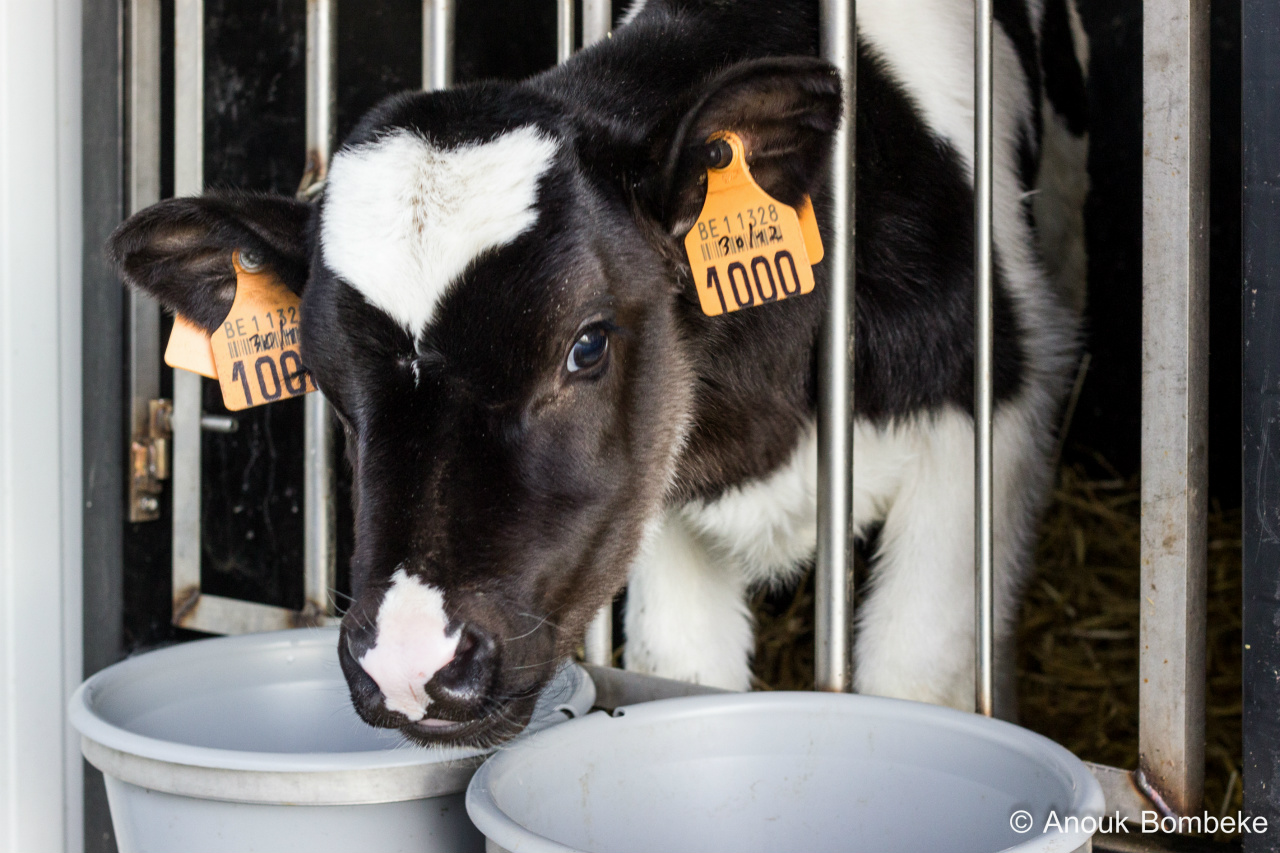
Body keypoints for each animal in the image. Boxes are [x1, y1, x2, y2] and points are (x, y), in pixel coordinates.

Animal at [112, 0, 1090, 742]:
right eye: (322, 375)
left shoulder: (990, 419)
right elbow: (684, 668)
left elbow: (914, 679)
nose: (408, 661)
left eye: (585, 345)